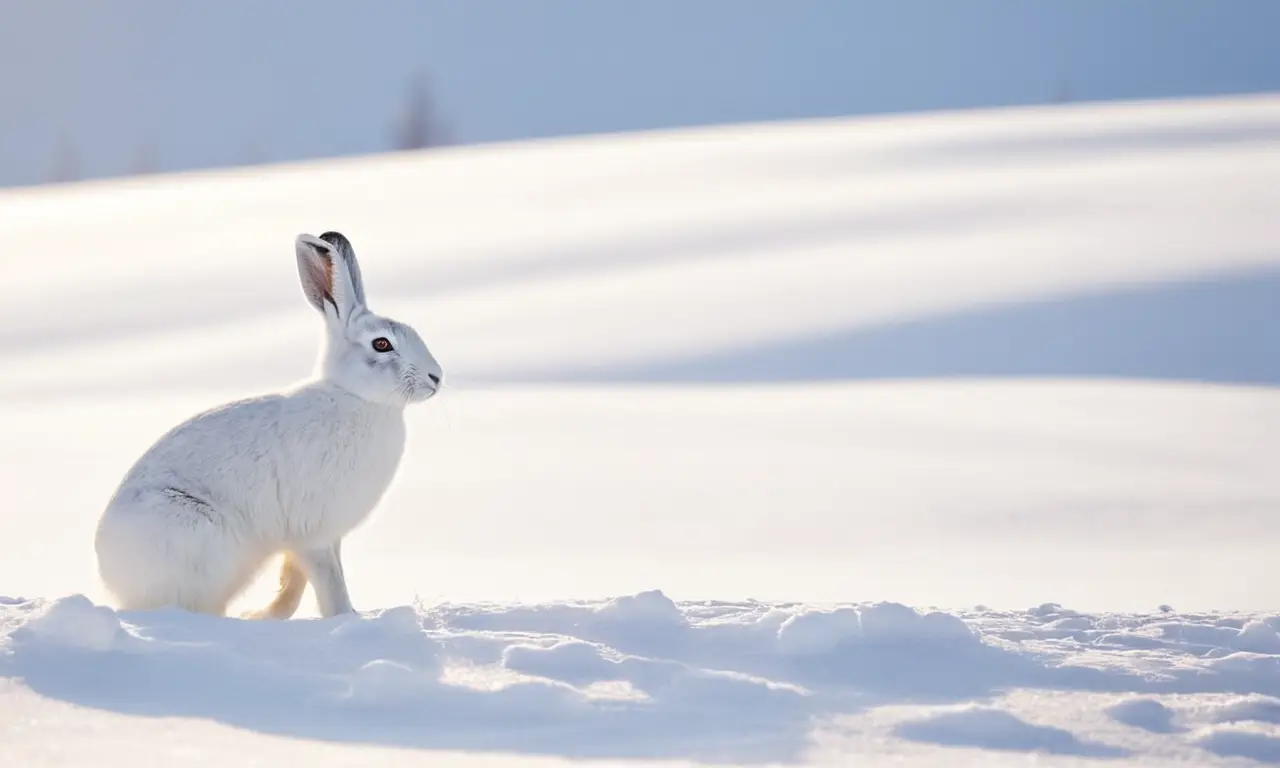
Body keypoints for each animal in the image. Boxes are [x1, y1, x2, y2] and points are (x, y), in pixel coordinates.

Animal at [93, 231, 442, 619]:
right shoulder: (313, 533)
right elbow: (329, 581)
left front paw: (269, 614)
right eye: (382, 344)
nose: (436, 377)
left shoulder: (322, 538)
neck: (356, 397)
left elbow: (298, 579)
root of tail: (112, 574)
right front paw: (346, 618)